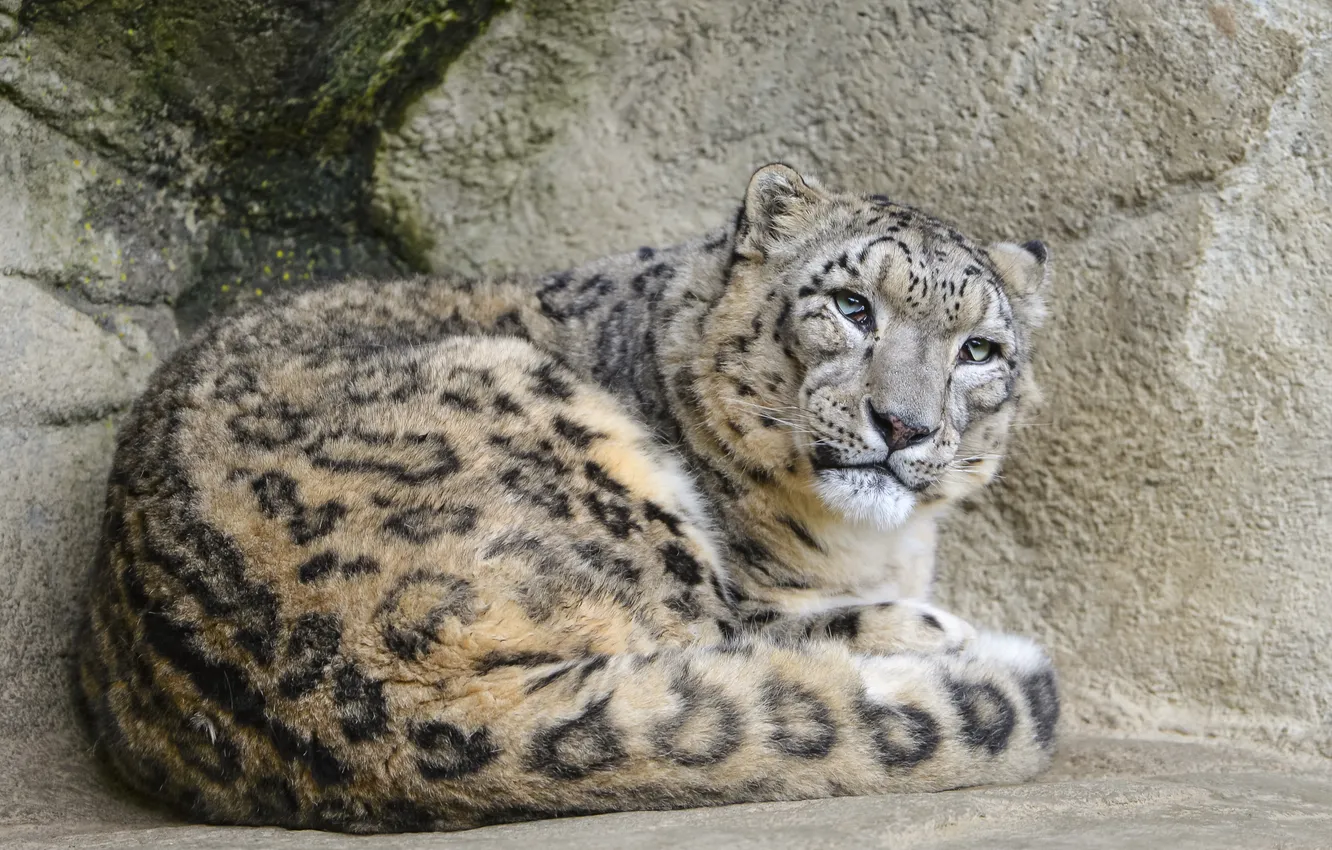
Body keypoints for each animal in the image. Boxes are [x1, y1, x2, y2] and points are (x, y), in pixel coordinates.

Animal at [76, 164, 1058, 832]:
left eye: (979, 350)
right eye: (852, 306)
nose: (904, 424)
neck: (877, 543)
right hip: (594, 470)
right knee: (710, 632)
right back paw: (932, 634)